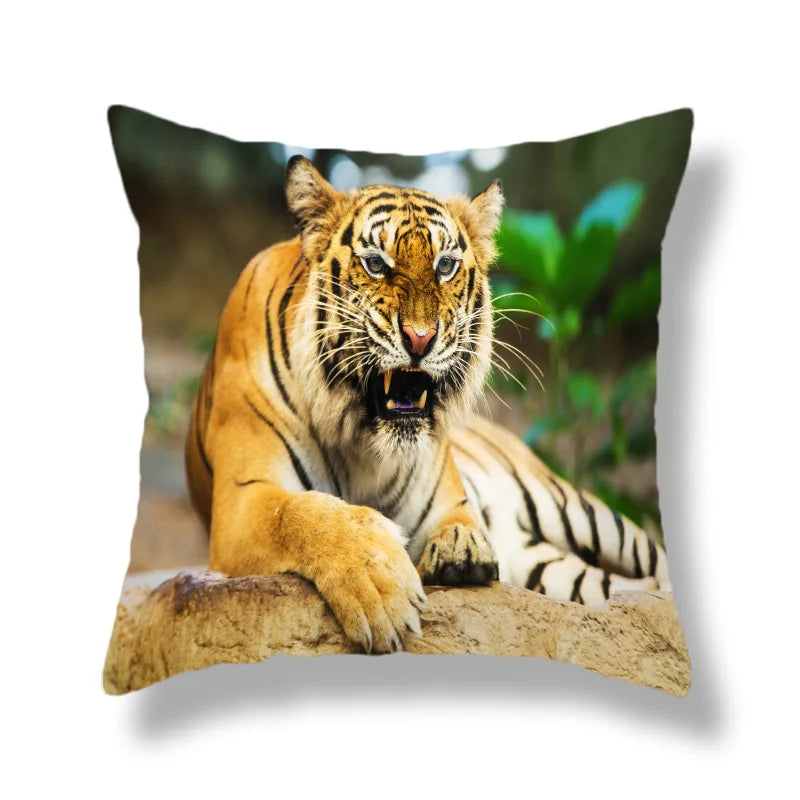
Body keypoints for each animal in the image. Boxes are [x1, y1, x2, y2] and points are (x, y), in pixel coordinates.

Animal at [185, 155, 670, 654]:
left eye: (446, 266)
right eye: (375, 264)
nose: (420, 339)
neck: (361, 444)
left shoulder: (448, 498)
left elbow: (460, 522)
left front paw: (460, 552)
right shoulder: (243, 501)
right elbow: (309, 514)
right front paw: (380, 588)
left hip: (580, 511)